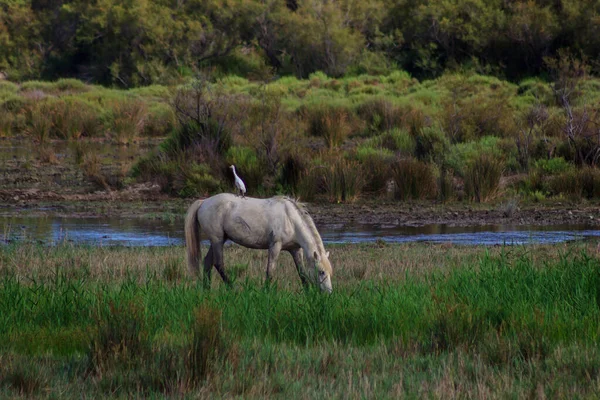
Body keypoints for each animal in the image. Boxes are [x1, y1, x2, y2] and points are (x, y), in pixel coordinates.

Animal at [184, 193, 332, 290]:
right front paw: (266, 292)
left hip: (217, 240)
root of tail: (204, 202)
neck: (290, 219)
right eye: (321, 272)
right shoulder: (275, 246)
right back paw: (233, 288)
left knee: (207, 262)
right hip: (217, 240)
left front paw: (308, 293)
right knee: (218, 264)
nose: (328, 293)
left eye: (330, 272)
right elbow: (270, 271)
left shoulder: (295, 249)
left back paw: (207, 289)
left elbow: (301, 273)